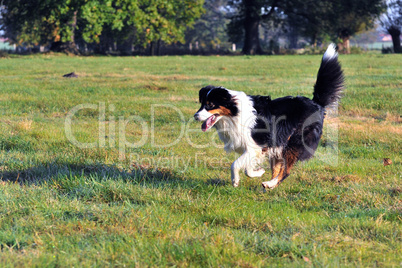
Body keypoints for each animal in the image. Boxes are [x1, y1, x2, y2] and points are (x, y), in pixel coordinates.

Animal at [194, 44, 342, 188]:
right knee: (277, 169)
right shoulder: (258, 147)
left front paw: (235, 180)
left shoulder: (255, 145)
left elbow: (235, 164)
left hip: (293, 143)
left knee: (286, 171)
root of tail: (316, 103)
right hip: (279, 144)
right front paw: (258, 172)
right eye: (202, 103)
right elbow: (248, 168)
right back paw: (267, 185)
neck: (234, 113)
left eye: (210, 104)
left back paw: (270, 184)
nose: (195, 116)